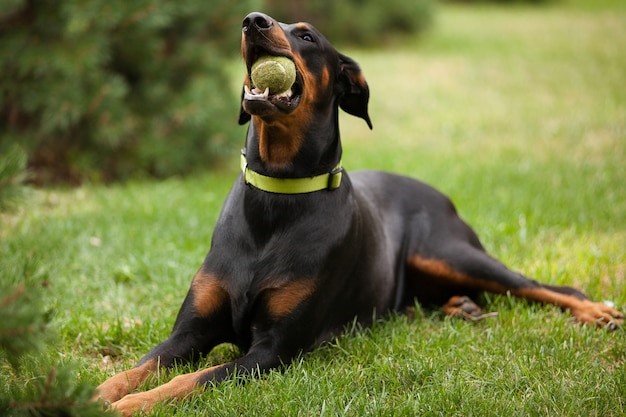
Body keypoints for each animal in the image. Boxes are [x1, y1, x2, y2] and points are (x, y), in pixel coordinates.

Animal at [95, 11, 620, 414]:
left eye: (307, 36)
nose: (253, 21)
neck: (276, 200)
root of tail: (436, 191)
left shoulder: (273, 351)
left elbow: (192, 379)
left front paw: (129, 406)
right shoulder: (190, 332)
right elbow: (139, 367)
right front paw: (96, 393)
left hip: (447, 251)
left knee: (543, 286)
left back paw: (594, 311)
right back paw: (462, 307)